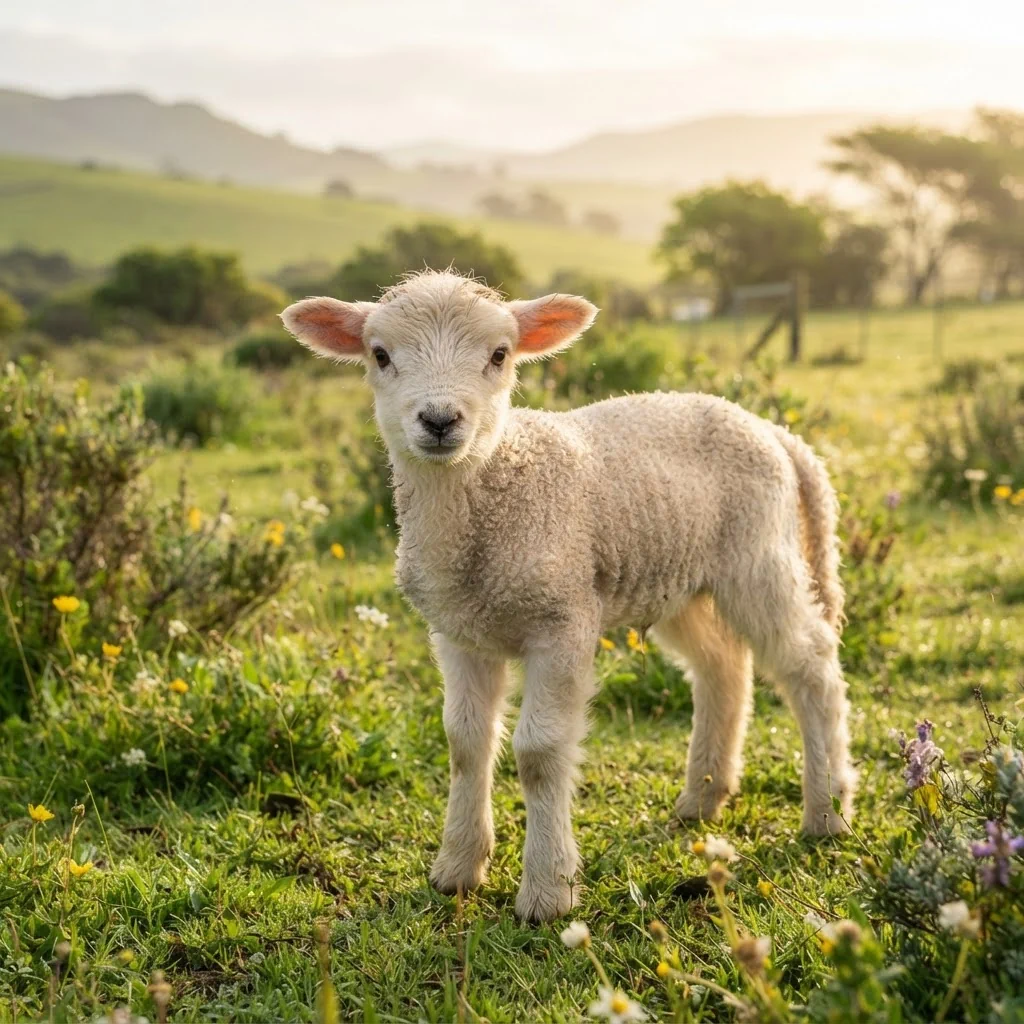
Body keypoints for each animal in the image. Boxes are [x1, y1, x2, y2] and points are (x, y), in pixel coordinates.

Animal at [281, 270, 855, 924]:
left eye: (499, 355)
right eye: (379, 355)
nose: (439, 419)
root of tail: (777, 434)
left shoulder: (562, 619)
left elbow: (539, 751)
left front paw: (547, 890)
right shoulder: (457, 633)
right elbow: (464, 742)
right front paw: (457, 868)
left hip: (758, 557)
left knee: (811, 666)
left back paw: (828, 811)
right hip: (680, 577)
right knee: (722, 667)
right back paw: (703, 798)